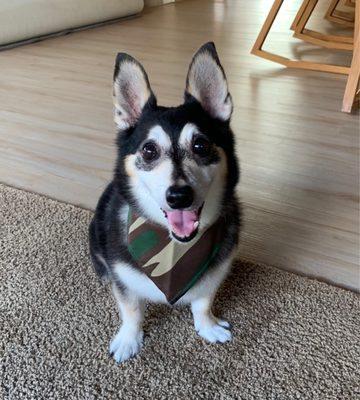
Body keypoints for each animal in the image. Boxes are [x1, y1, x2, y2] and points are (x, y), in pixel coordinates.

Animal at [89, 41, 242, 362]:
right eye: (149, 150)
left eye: (201, 145)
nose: (179, 196)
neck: (175, 247)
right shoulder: (125, 282)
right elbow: (131, 309)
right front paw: (129, 339)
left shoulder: (214, 273)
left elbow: (203, 301)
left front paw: (208, 326)